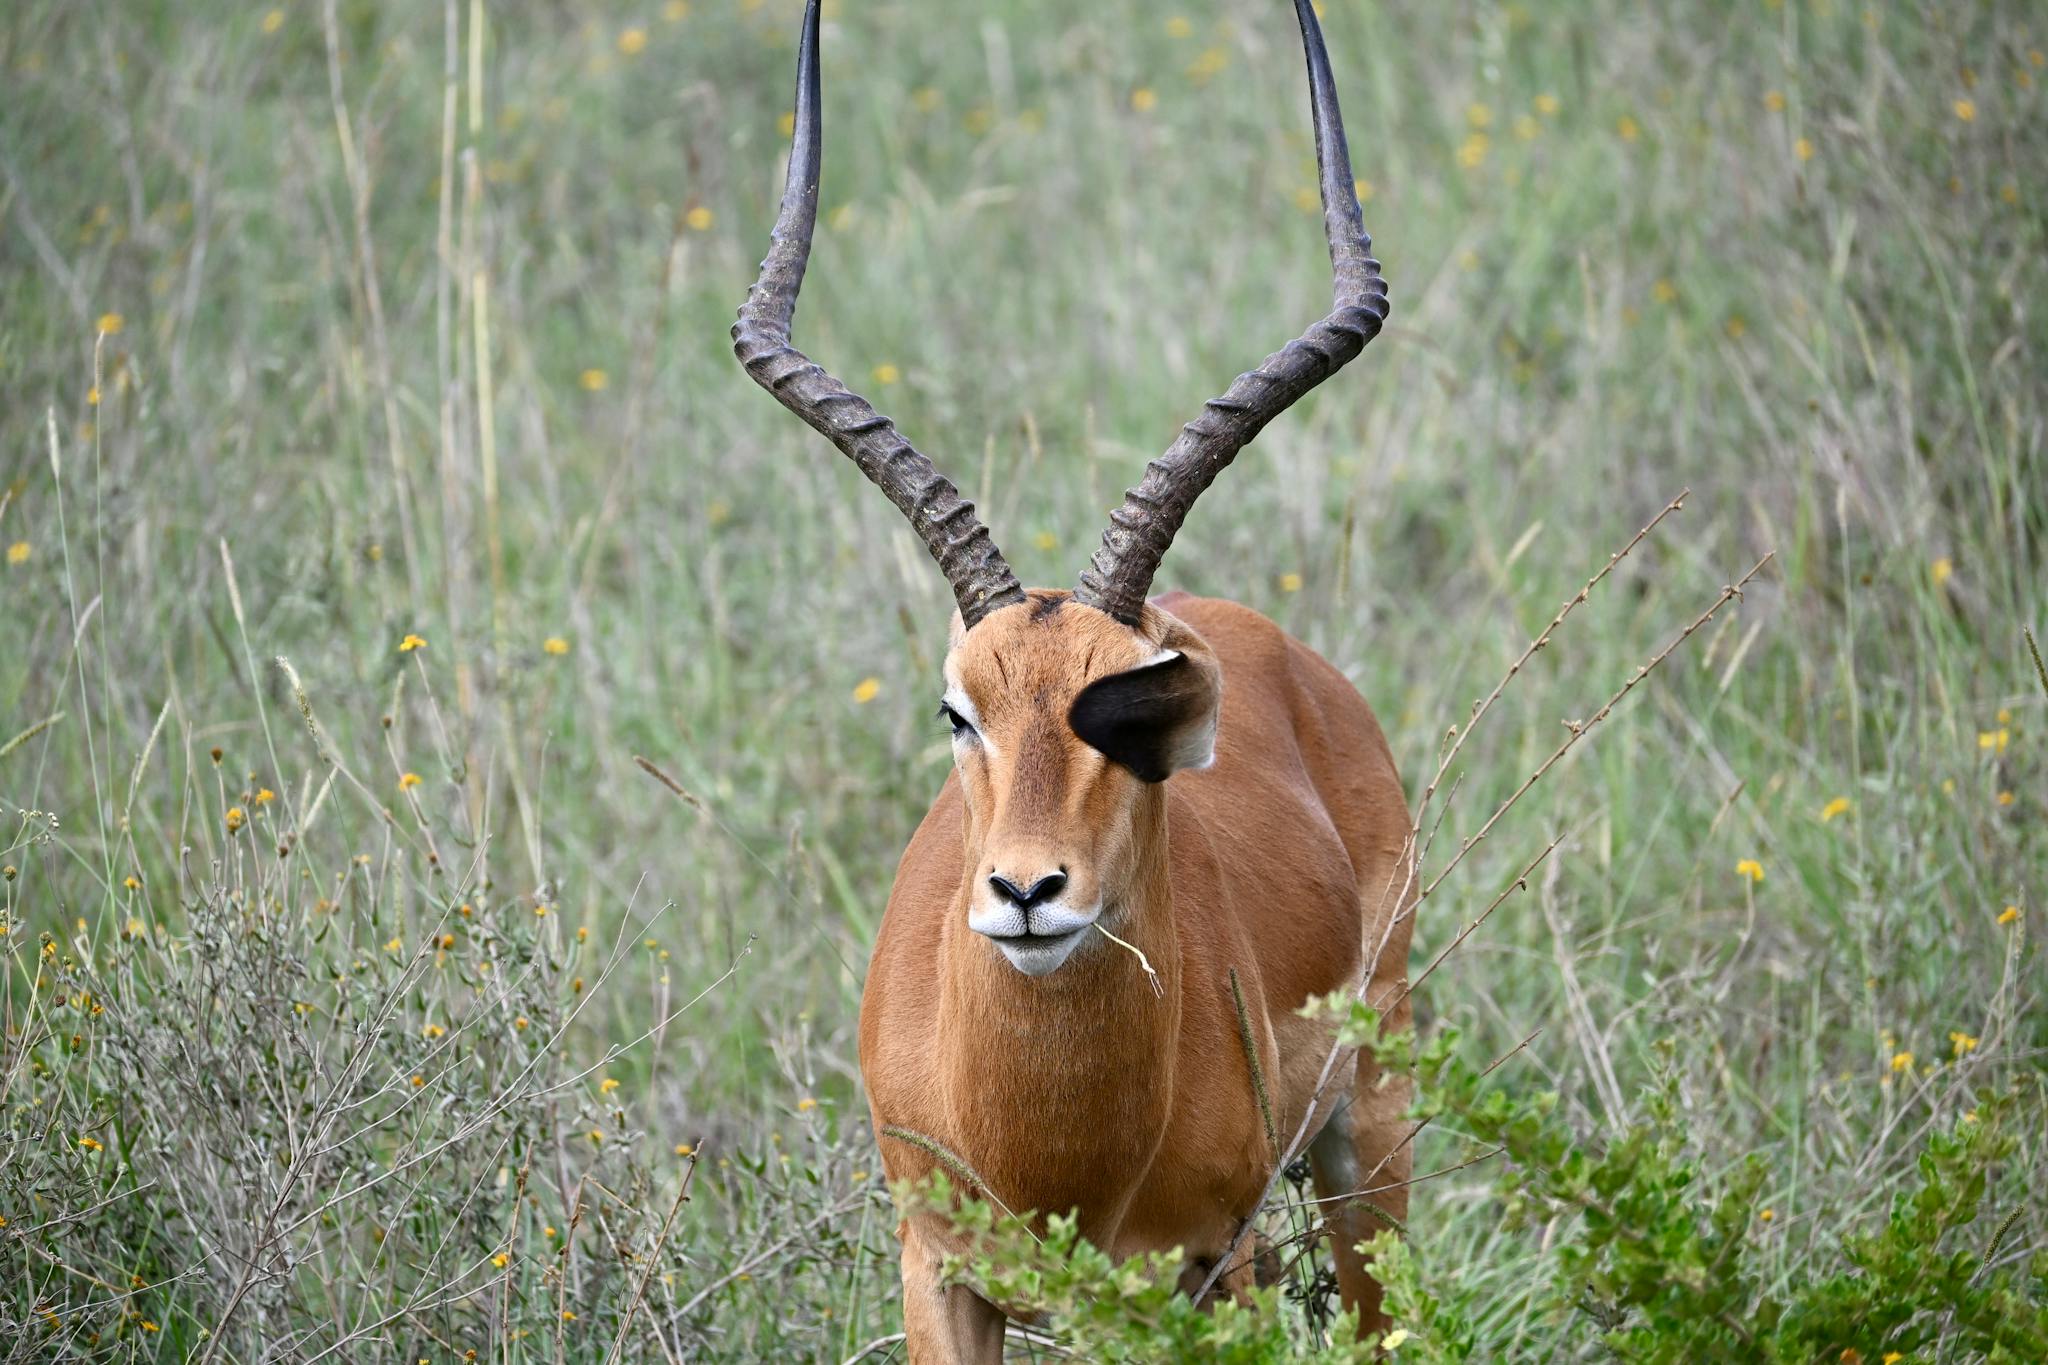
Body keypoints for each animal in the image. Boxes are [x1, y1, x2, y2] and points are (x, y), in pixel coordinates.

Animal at [734, 1, 1411, 1356]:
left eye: (1139, 714)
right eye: (958, 712)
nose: (1027, 892)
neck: (1047, 1153)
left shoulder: (1200, 1270)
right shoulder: (936, 1272)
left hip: (1370, 1135)